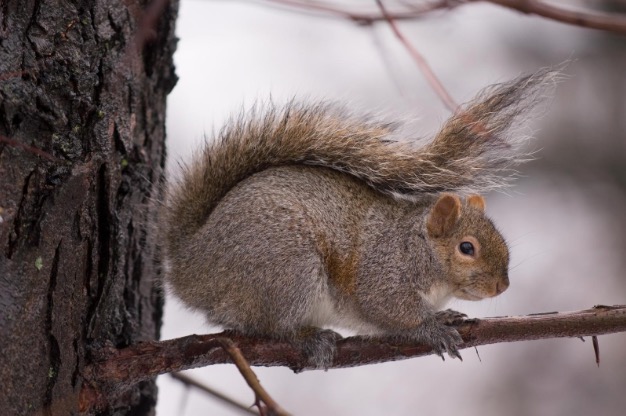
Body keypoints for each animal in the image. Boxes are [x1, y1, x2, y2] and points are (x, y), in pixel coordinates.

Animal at [163, 69, 552, 370]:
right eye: (466, 248)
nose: (502, 286)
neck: (415, 247)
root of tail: (191, 265)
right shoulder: (382, 277)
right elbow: (391, 313)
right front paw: (432, 330)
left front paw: (444, 317)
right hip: (287, 268)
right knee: (271, 325)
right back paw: (309, 338)